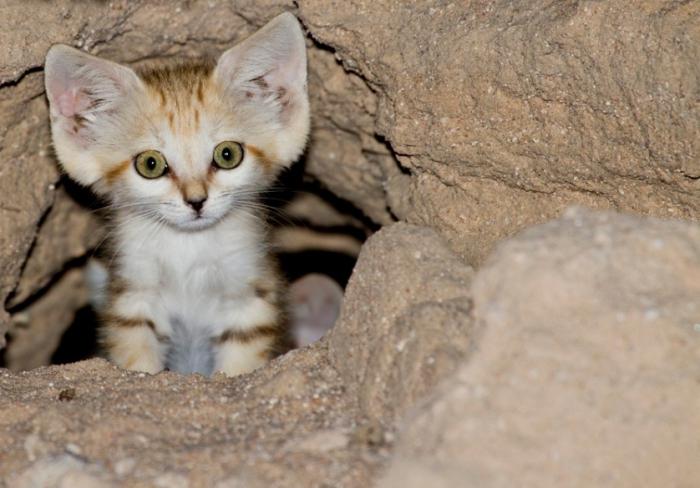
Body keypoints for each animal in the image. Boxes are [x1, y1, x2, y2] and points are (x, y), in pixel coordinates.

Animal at [45, 12, 312, 378]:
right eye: (150, 164)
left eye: (228, 155)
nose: (196, 201)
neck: (189, 249)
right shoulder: (133, 298)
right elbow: (137, 357)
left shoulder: (249, 299)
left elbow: (240, 363)